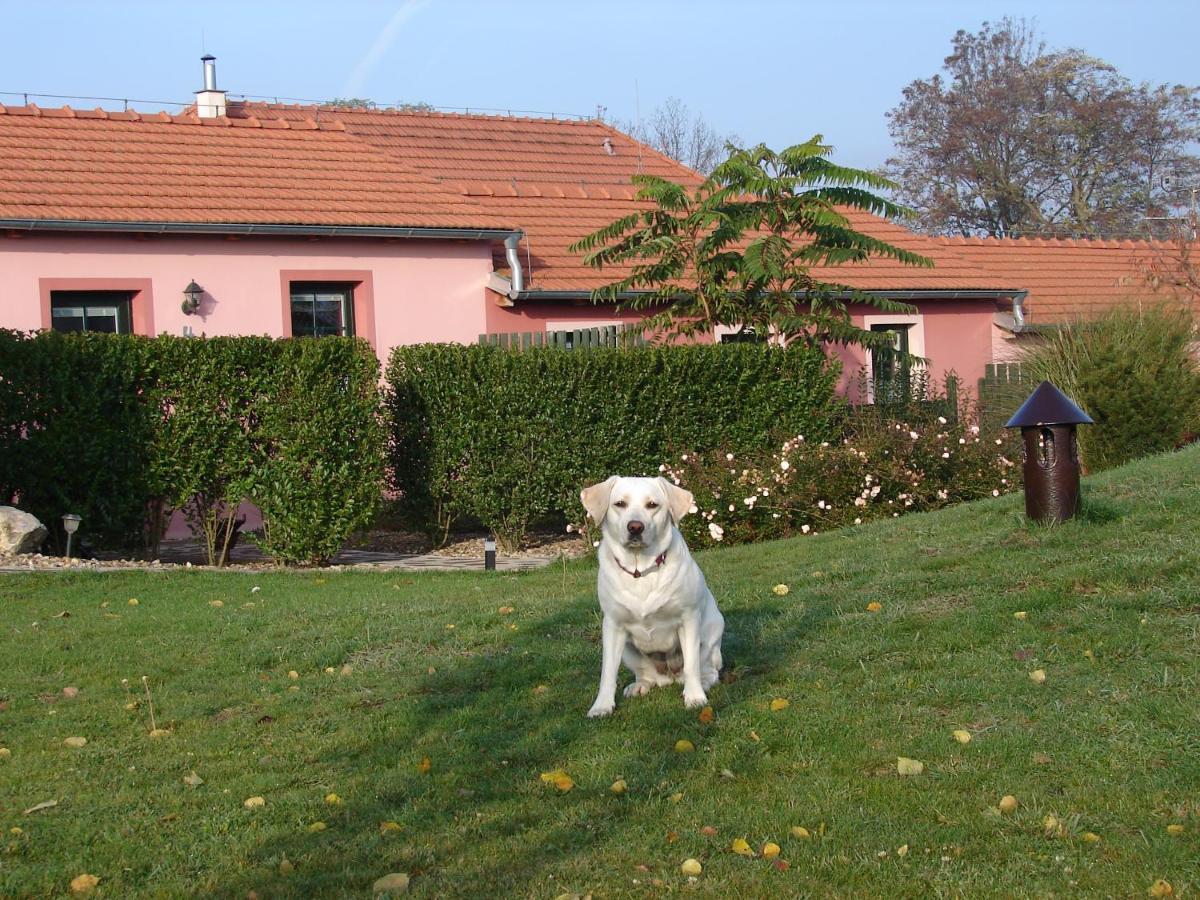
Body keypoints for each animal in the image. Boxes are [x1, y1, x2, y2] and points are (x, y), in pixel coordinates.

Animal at [578, 480, 720, 720]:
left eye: (652, 505)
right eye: (620, 504)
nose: (635, 527)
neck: (640, 569)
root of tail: (669, 678)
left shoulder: (689, 619)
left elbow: (692, 665)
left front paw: (694, 697)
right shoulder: (612, 625)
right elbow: (607, 672)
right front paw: (602, 705)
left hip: (713, 634)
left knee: (708, 668)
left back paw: (703, 682)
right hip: (629, 650)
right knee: (646, 675)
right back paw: (639, 686)